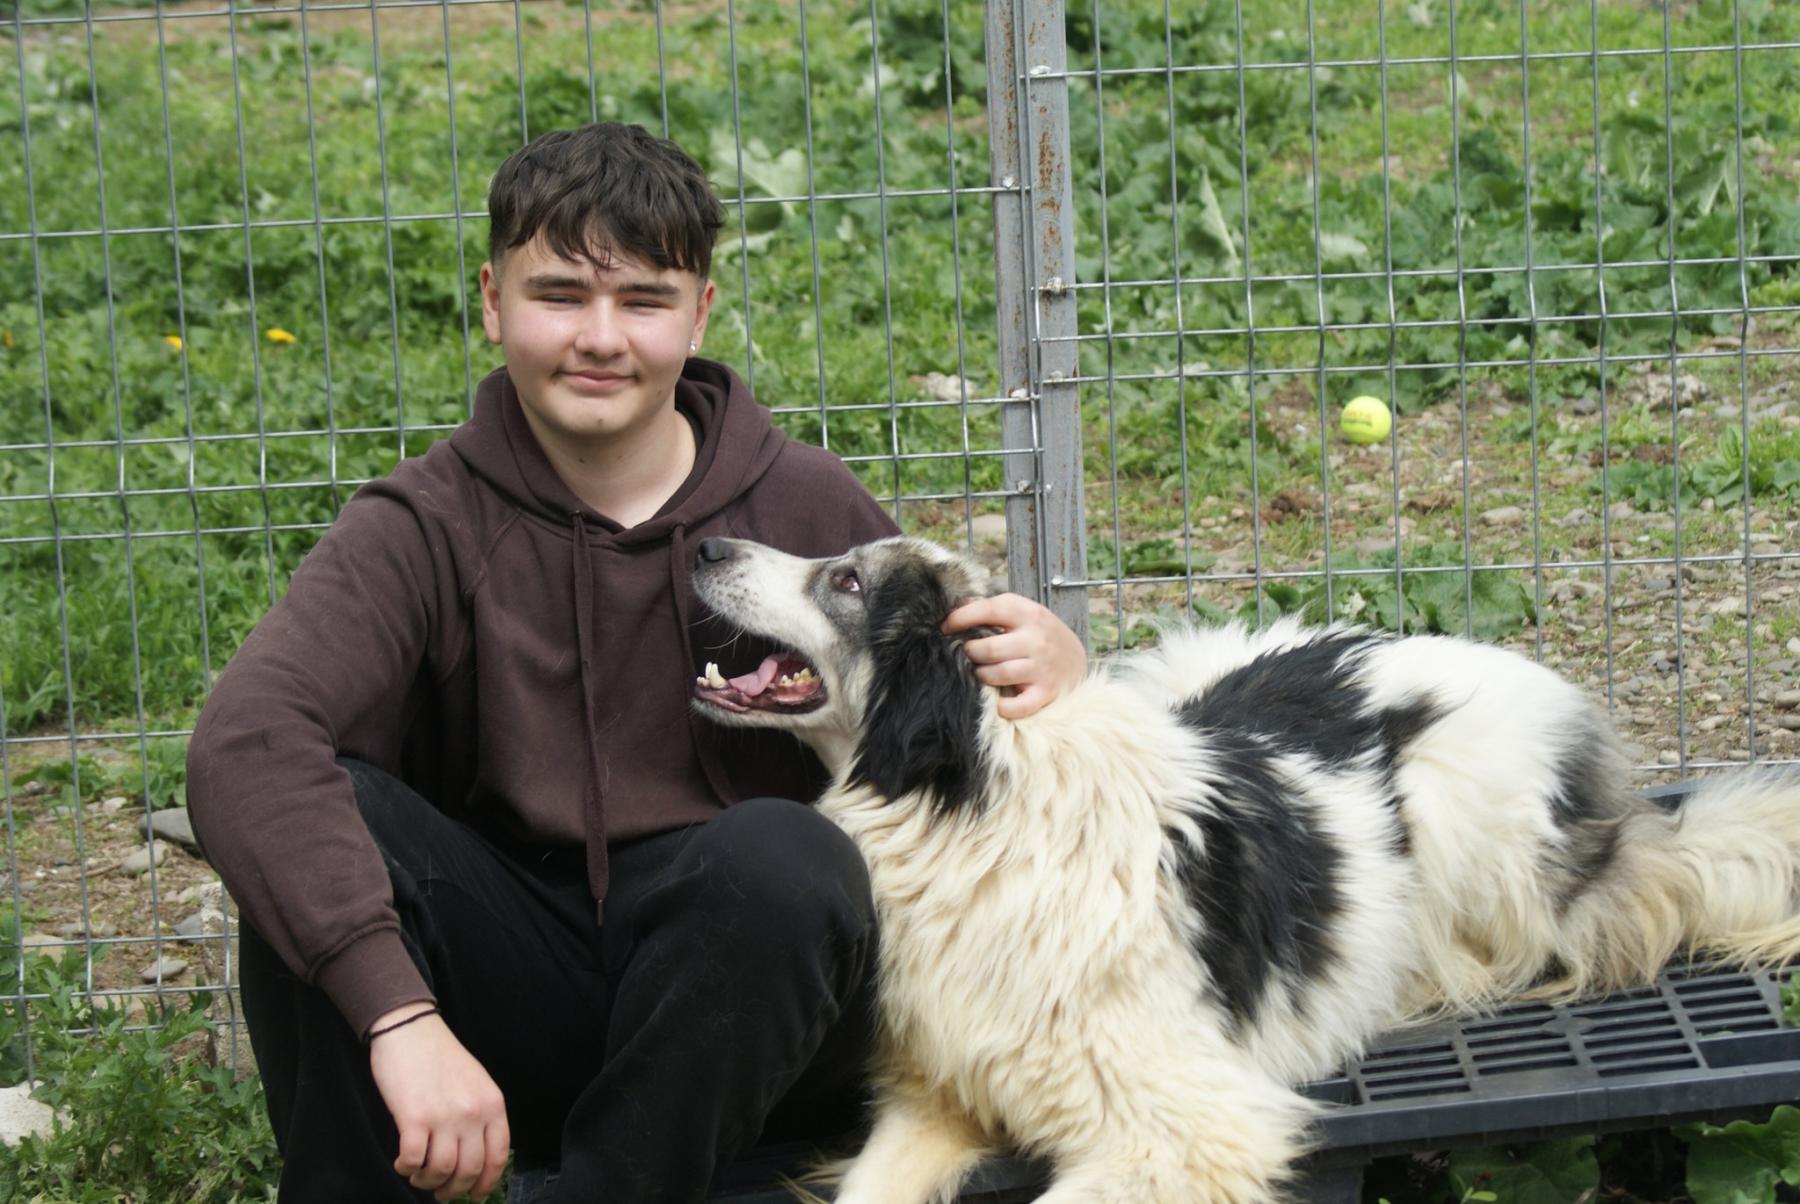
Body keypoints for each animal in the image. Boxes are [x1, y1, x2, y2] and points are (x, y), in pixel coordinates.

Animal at [689, 534, 1800, 1204]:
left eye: (843, 580)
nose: (705, 543)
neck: (976, 799)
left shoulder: (1186, 1128)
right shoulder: (939, 1097)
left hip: (1467, 813)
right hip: (1182, 670)